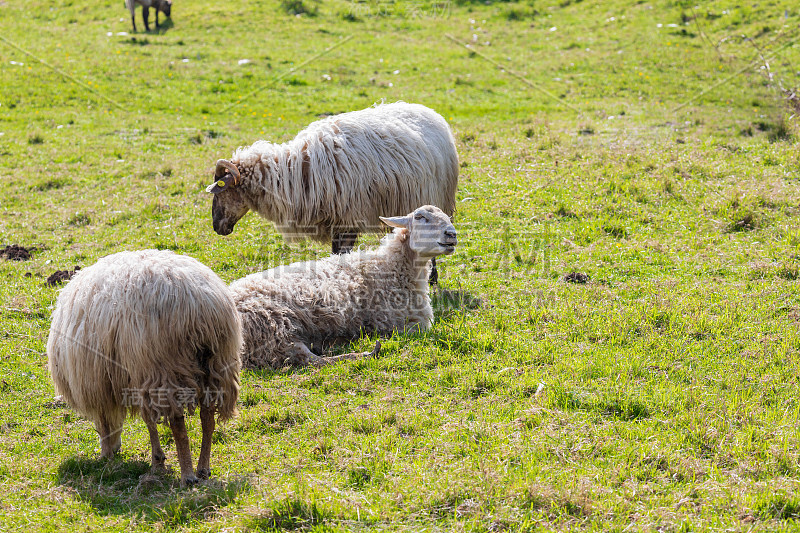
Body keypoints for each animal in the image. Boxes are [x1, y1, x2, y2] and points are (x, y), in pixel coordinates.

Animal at [46, 249, 241, 486]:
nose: (112, 452)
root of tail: (197, 304)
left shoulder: (112, 378)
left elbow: (133, 421)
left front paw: (128, 457)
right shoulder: (136, 375)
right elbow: (149, 420)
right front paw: (157, 461)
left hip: (165, 367)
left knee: (178, 422)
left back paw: (187, 475)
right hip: (217, 365)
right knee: (208, 418)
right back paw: (203, 469)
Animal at [206, 101, 456, 282]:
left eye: (221, 191)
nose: (217, 227)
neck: (293, 172)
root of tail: (428, 110)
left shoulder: (349, 218)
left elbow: (342, 254)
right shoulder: (336, 220)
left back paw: (432, 277)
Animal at [230, 205, 456, 370]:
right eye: (420, 217)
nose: (451, 234)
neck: (390, 265)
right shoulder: (395, 322)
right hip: (275, 329)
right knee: (309, 359)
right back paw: (361, 352)